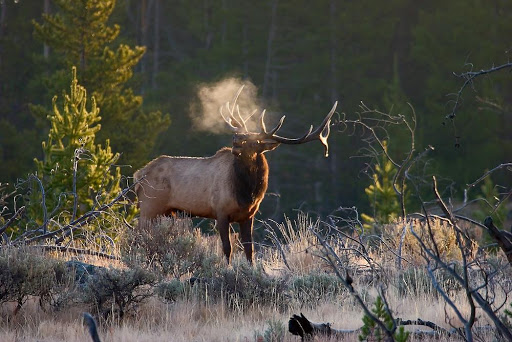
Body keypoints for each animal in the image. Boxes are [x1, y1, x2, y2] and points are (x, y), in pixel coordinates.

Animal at [134, 87, 338, 262]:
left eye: (255, 142)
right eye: (243, 137)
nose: (236, 140)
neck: (247, 193)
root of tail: (139, 174)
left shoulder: (248, 216)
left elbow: (249, 249)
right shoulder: (221, 212)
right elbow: (227, 248)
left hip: (167, 212)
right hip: (149, 206)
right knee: (138, 236)